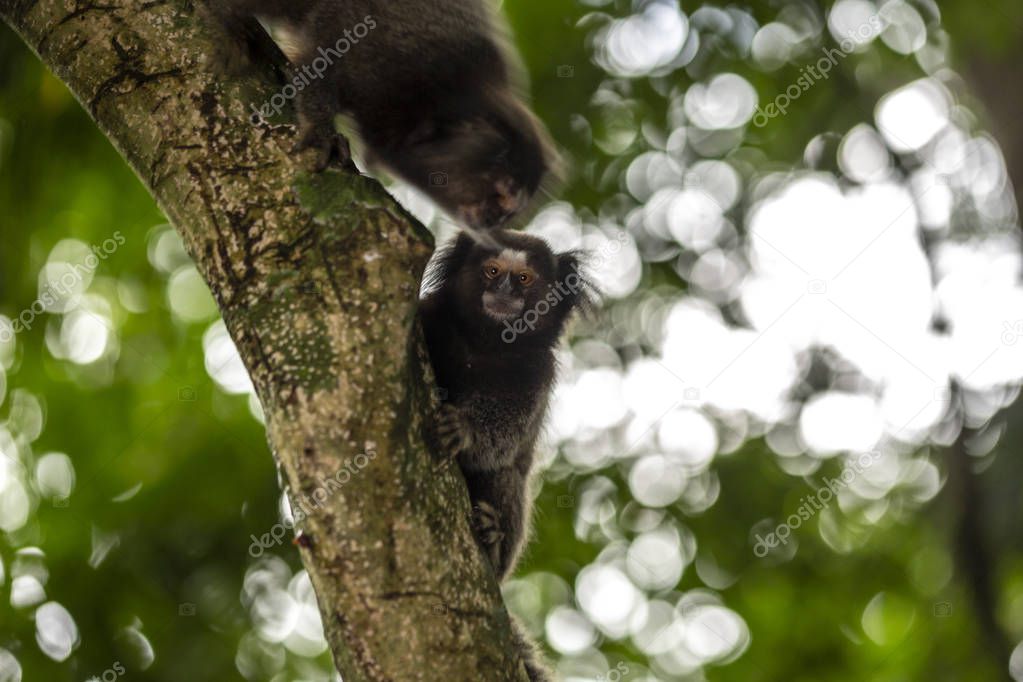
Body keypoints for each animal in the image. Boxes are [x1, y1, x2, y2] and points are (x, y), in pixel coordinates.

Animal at [205, 0, 552, 231]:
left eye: (507, 213)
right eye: (500, 194)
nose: (492, 220)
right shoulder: (396, 49)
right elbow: (325, 55)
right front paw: (321, 131)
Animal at [415, 231, 593, 682]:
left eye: (525, 278)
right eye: (492, 270)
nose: (505, 291)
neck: (488, 343)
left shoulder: (537, 371)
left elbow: (505, 435)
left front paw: (464, 429)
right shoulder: (429, 317)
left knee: (507, 479)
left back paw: (492, 540)